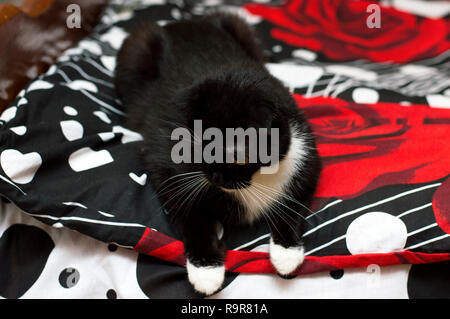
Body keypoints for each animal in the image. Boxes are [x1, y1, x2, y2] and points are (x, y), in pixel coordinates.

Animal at [114, 13, 322, 298]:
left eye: (238, 156)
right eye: (198, 147)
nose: (216, 178)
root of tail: (183, 22)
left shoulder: (305, 157)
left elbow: (293, 204)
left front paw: (286, 254)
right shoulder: (166, 163)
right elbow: (191, 211)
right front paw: (206, 271)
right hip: (137, 46)